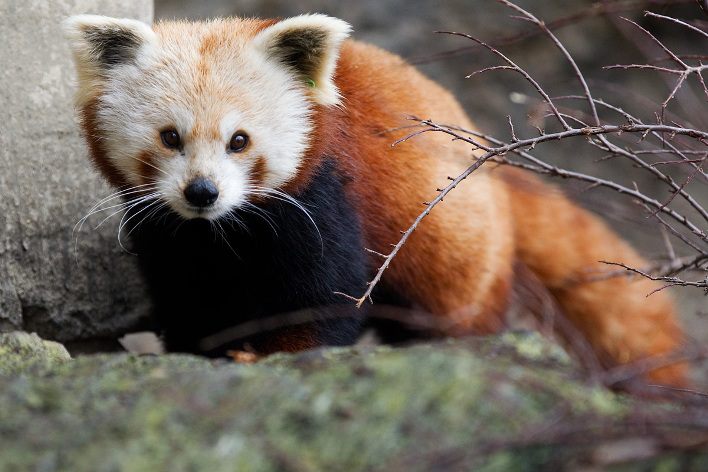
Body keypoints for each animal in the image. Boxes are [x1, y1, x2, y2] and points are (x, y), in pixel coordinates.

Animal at [65, 14, 684, 386]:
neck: (223, 231)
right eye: (170, 137)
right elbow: (187, 294)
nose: (202, 192)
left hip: (457, 254)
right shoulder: (166, 234)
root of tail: (491, 164)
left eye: (239, 141)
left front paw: (275, 354)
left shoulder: (325, 200)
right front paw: (199, 349)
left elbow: (326, 296)